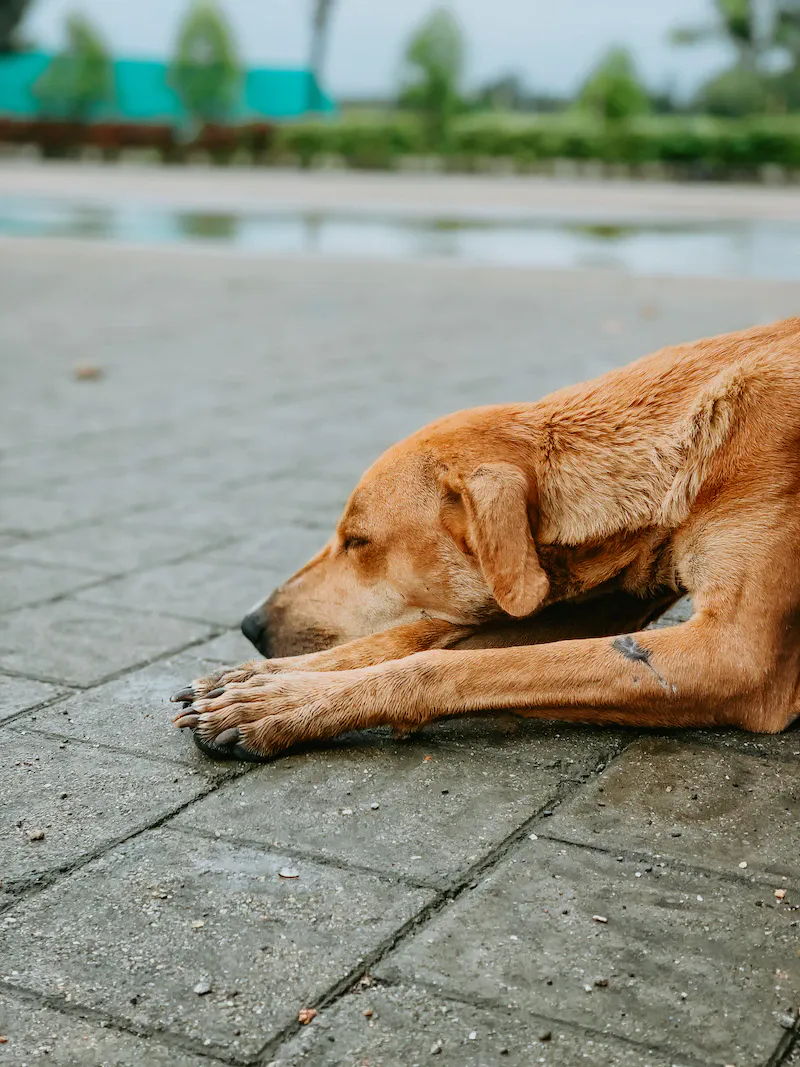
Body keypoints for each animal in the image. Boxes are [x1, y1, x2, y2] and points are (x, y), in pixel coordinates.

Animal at [172, 315, 800, 759]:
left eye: (357, 541)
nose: (251, 625)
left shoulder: (735, 657)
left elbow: (444, 664)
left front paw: (284, 705)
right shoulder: (602, 599)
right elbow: (418, 639)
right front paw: (263, 680)